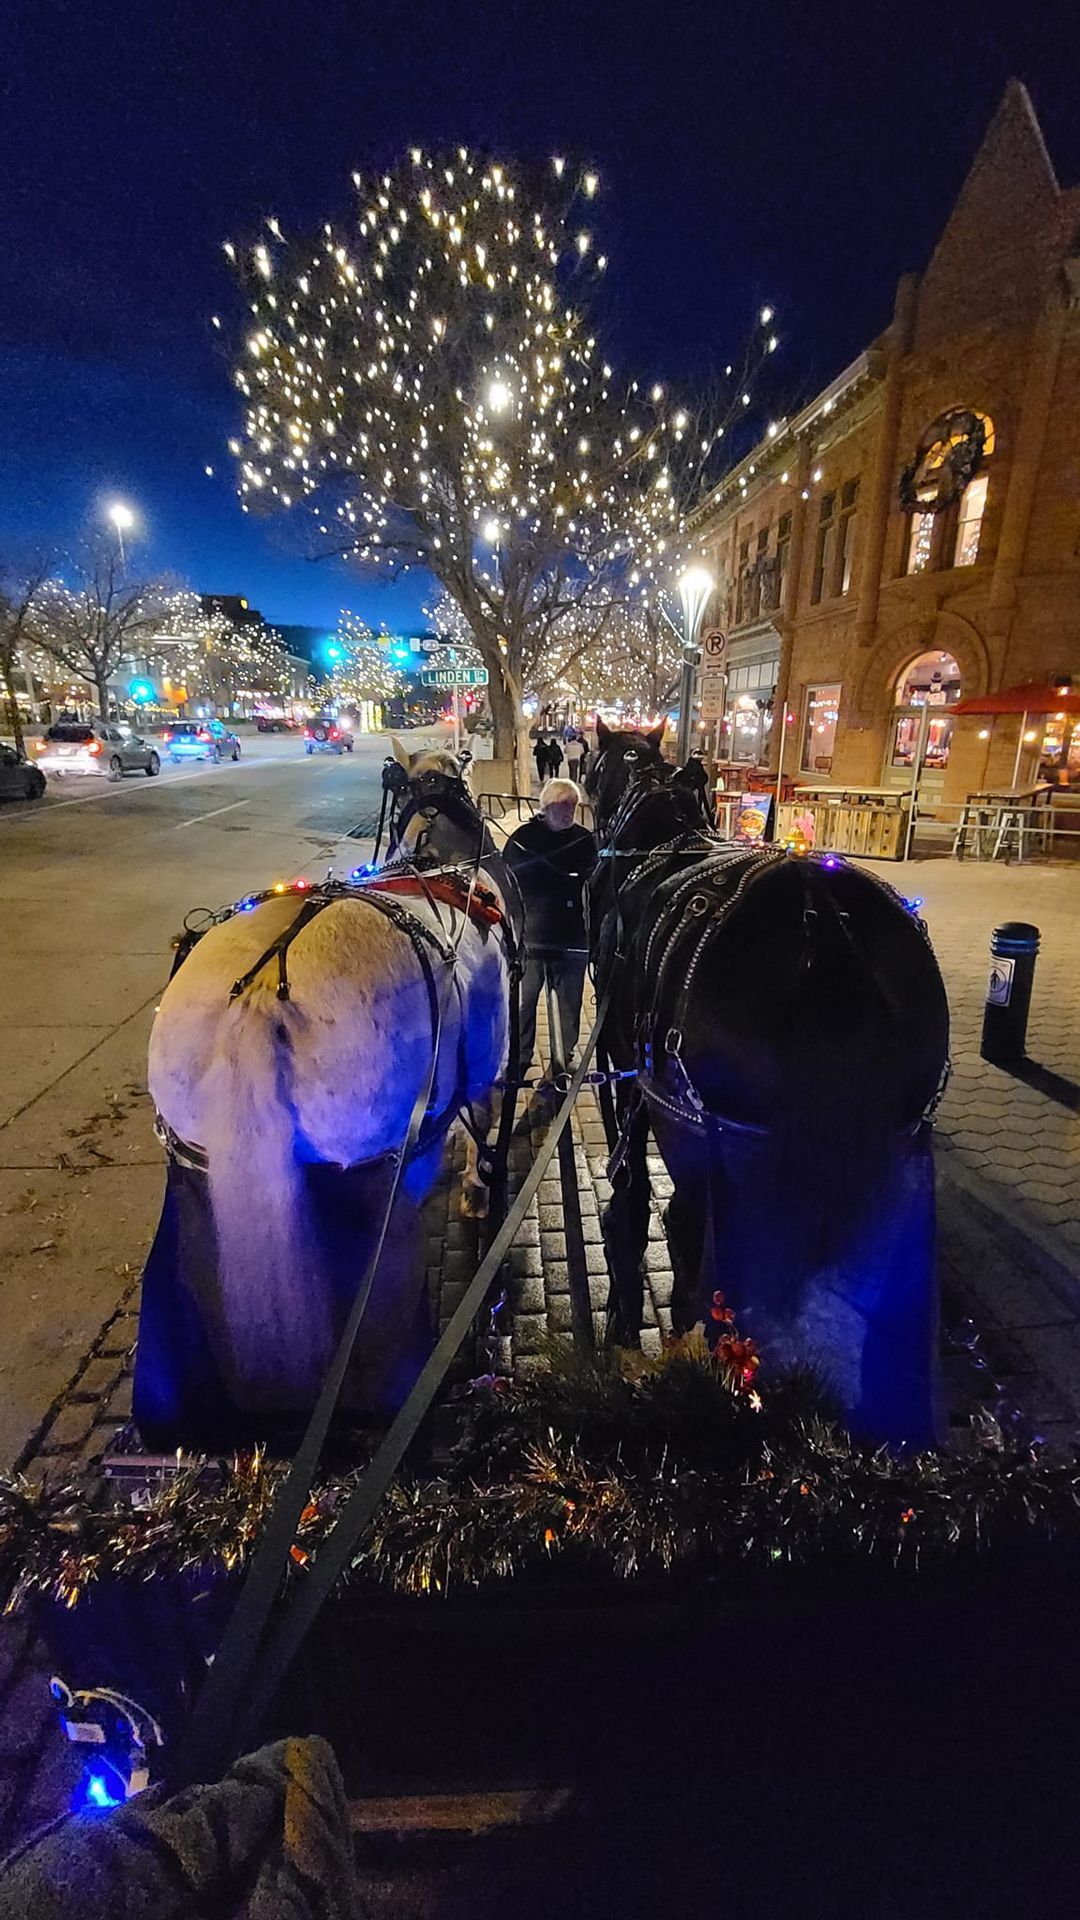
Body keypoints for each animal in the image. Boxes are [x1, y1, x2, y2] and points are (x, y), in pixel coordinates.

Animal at [139, 748, 507, 1443]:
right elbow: (483, 1123)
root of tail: (260, 990)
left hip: (201, 1170)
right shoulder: (489, 1068)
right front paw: (475, 1187)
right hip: (363, 1174)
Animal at [584, 721, 945, 1443]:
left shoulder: (624, 1061)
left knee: (702, 1235)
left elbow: (631, 1178)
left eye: (593, 769)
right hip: (891, 1148)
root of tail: (824, 920)